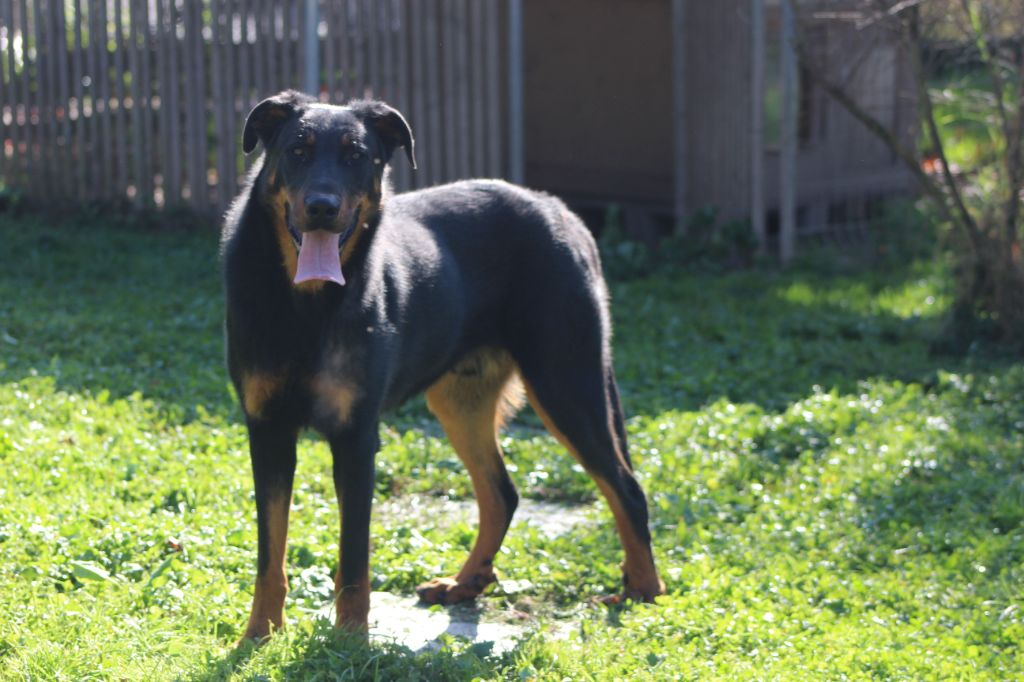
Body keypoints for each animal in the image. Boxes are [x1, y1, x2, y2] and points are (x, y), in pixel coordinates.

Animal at [221, 89, 667, 638]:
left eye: (356, 155)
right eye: (297, 151)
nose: (322, 208)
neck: (307, 305)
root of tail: (562, 211)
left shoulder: (356, 437)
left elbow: (353, 558)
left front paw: (349, 639)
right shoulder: (267, 430)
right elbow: (270, 552)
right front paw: (259, 633)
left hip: (566, 382)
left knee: (626, 487)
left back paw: (643, 590)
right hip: (462, 401)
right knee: (502, 492)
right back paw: (465, 583)